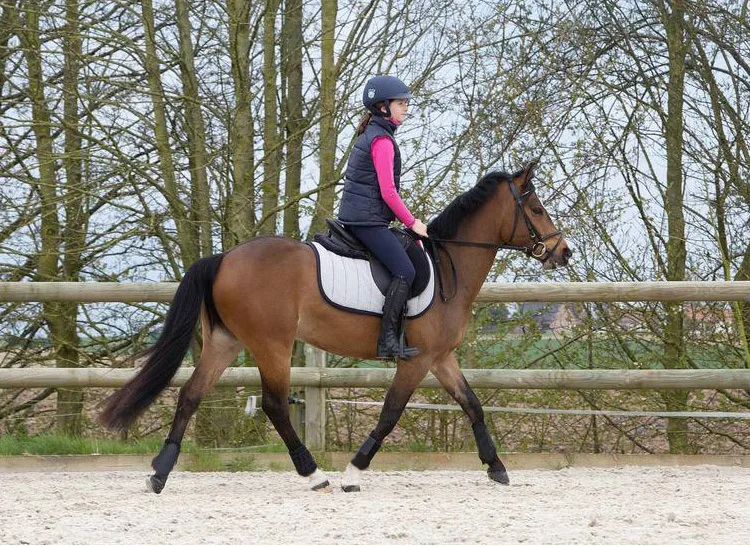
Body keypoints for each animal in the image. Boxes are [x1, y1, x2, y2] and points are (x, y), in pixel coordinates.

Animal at [99, 159, 571, 494]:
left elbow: (472, 404)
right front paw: (353, 472)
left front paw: (496, 467)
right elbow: (390, 414)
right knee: (274, 405)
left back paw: (160, 473)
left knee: (191, 395)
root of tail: (224, 257)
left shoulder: (441, 359)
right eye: (536, 208)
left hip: (225, 341)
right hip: (271, 344)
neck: (447, 266)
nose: (562, 252)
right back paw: (314, 474)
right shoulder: (416, 362)